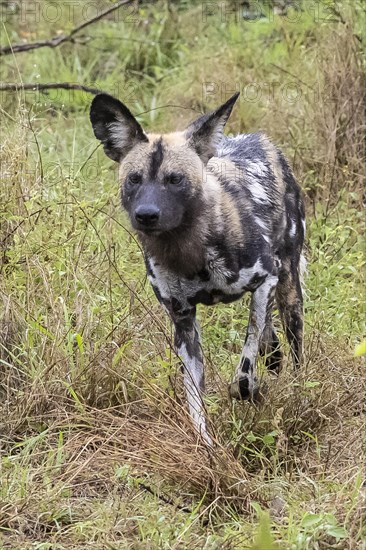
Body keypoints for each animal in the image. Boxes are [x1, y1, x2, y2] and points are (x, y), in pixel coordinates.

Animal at [90, 94, 304, 448]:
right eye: (134, 179)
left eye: (175, 179)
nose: (146, 214)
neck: (188, 251)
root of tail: (258, 139)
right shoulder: (182, 321)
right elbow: (195, 405)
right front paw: (207, 450)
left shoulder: (266, 277)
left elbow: (243, 372)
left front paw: (251, 391)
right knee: (269, 341)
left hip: (289, 288)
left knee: (293, 346)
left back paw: (300, 387)